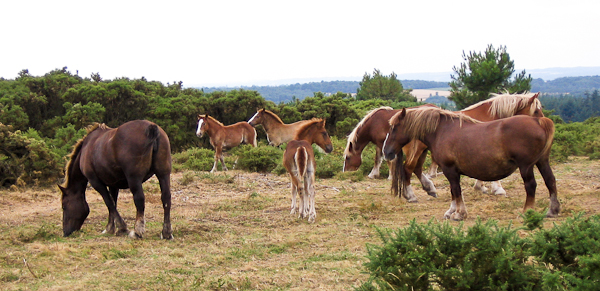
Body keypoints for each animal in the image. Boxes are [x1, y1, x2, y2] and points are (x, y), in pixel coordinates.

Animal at [382, 107, 560, 221]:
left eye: (394, 127)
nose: (386, 151)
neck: (441, 131)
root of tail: (538, 121)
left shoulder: (450, 170)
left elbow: (456, 190)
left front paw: (459, 213)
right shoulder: (450, 171)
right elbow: (454, 192)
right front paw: (451, 211)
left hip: (526, 166)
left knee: (531, 185)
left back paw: (527, 211)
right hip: (542, 161)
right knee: (550, 181)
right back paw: (553, 210)